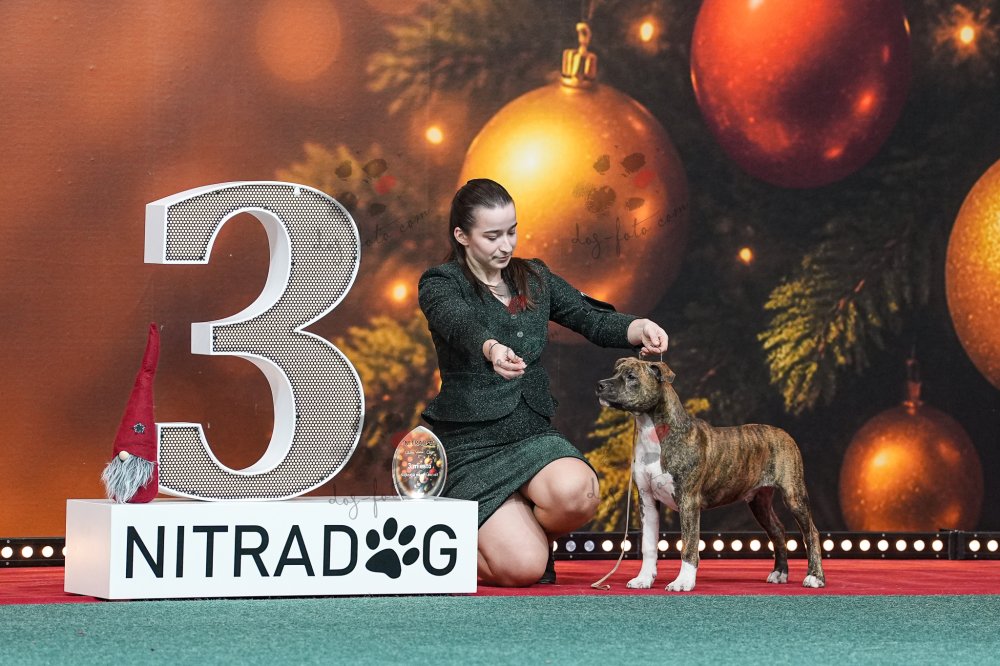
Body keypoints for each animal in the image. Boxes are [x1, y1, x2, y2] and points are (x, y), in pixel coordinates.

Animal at [595, 357, 825, 591]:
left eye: (631, 376)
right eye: (614, 372)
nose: (600, 385)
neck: (654, 433)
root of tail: (784, 433)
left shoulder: (688, 502)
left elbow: (688, 545)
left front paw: (683, 582)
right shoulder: (647, 500)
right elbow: (648, 545)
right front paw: (643, 579)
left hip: (794, 494)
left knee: (811, 533)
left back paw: (814, 577)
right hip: (759, 501)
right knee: (777, 530)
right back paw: (779, 573)